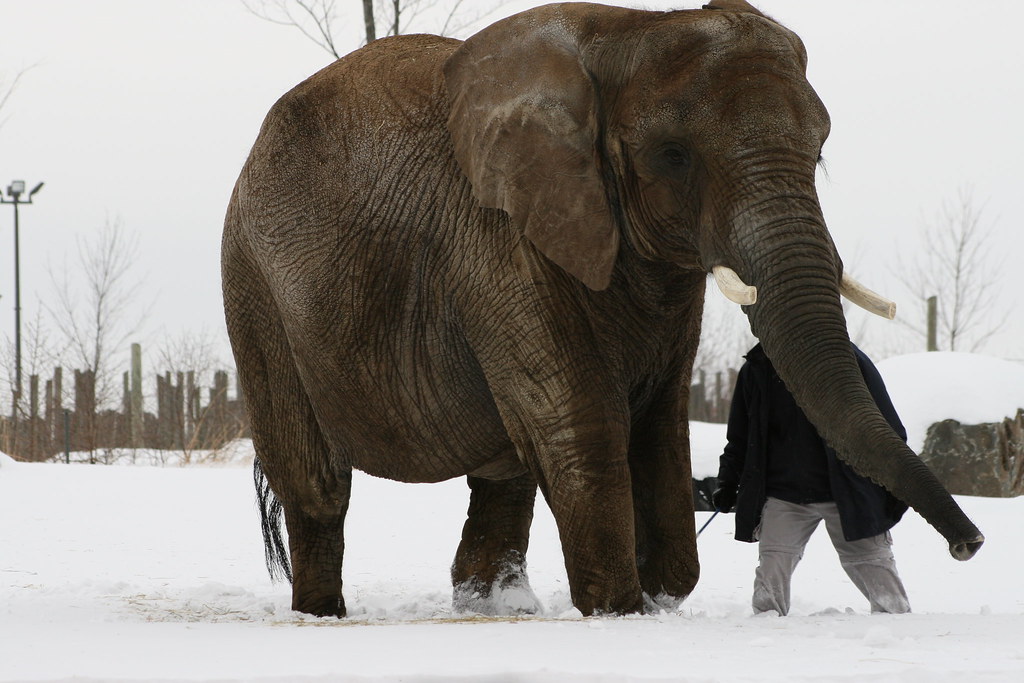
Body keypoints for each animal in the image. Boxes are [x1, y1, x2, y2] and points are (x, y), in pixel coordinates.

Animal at [222, 0, 983, 618]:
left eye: (819, 151)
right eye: (673, 156)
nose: (971, 545)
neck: (627, 30)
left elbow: (660, 416)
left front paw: (657, 595)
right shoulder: (500, 238)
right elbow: (579, 419)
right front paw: (620, 610)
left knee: (504, 470)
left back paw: (492, 606)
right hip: (254, 283)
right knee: (317, 483)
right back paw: (324, 615)